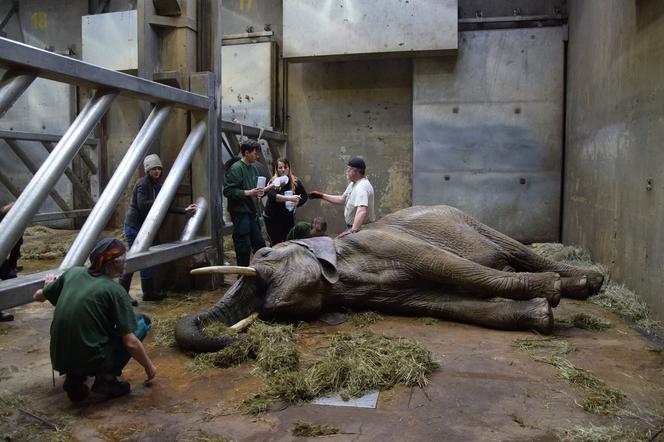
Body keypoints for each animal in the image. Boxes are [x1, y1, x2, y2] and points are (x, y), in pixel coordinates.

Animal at [175, 205, 600, 352]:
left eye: (263, 255)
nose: (236, 340)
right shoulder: (385, 294)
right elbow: (450, 304)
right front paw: (540, 316)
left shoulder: (389, 242)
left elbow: (453, 268)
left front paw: (552, 295)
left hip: (467, 218)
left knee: (514, 249)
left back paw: (587, 283)